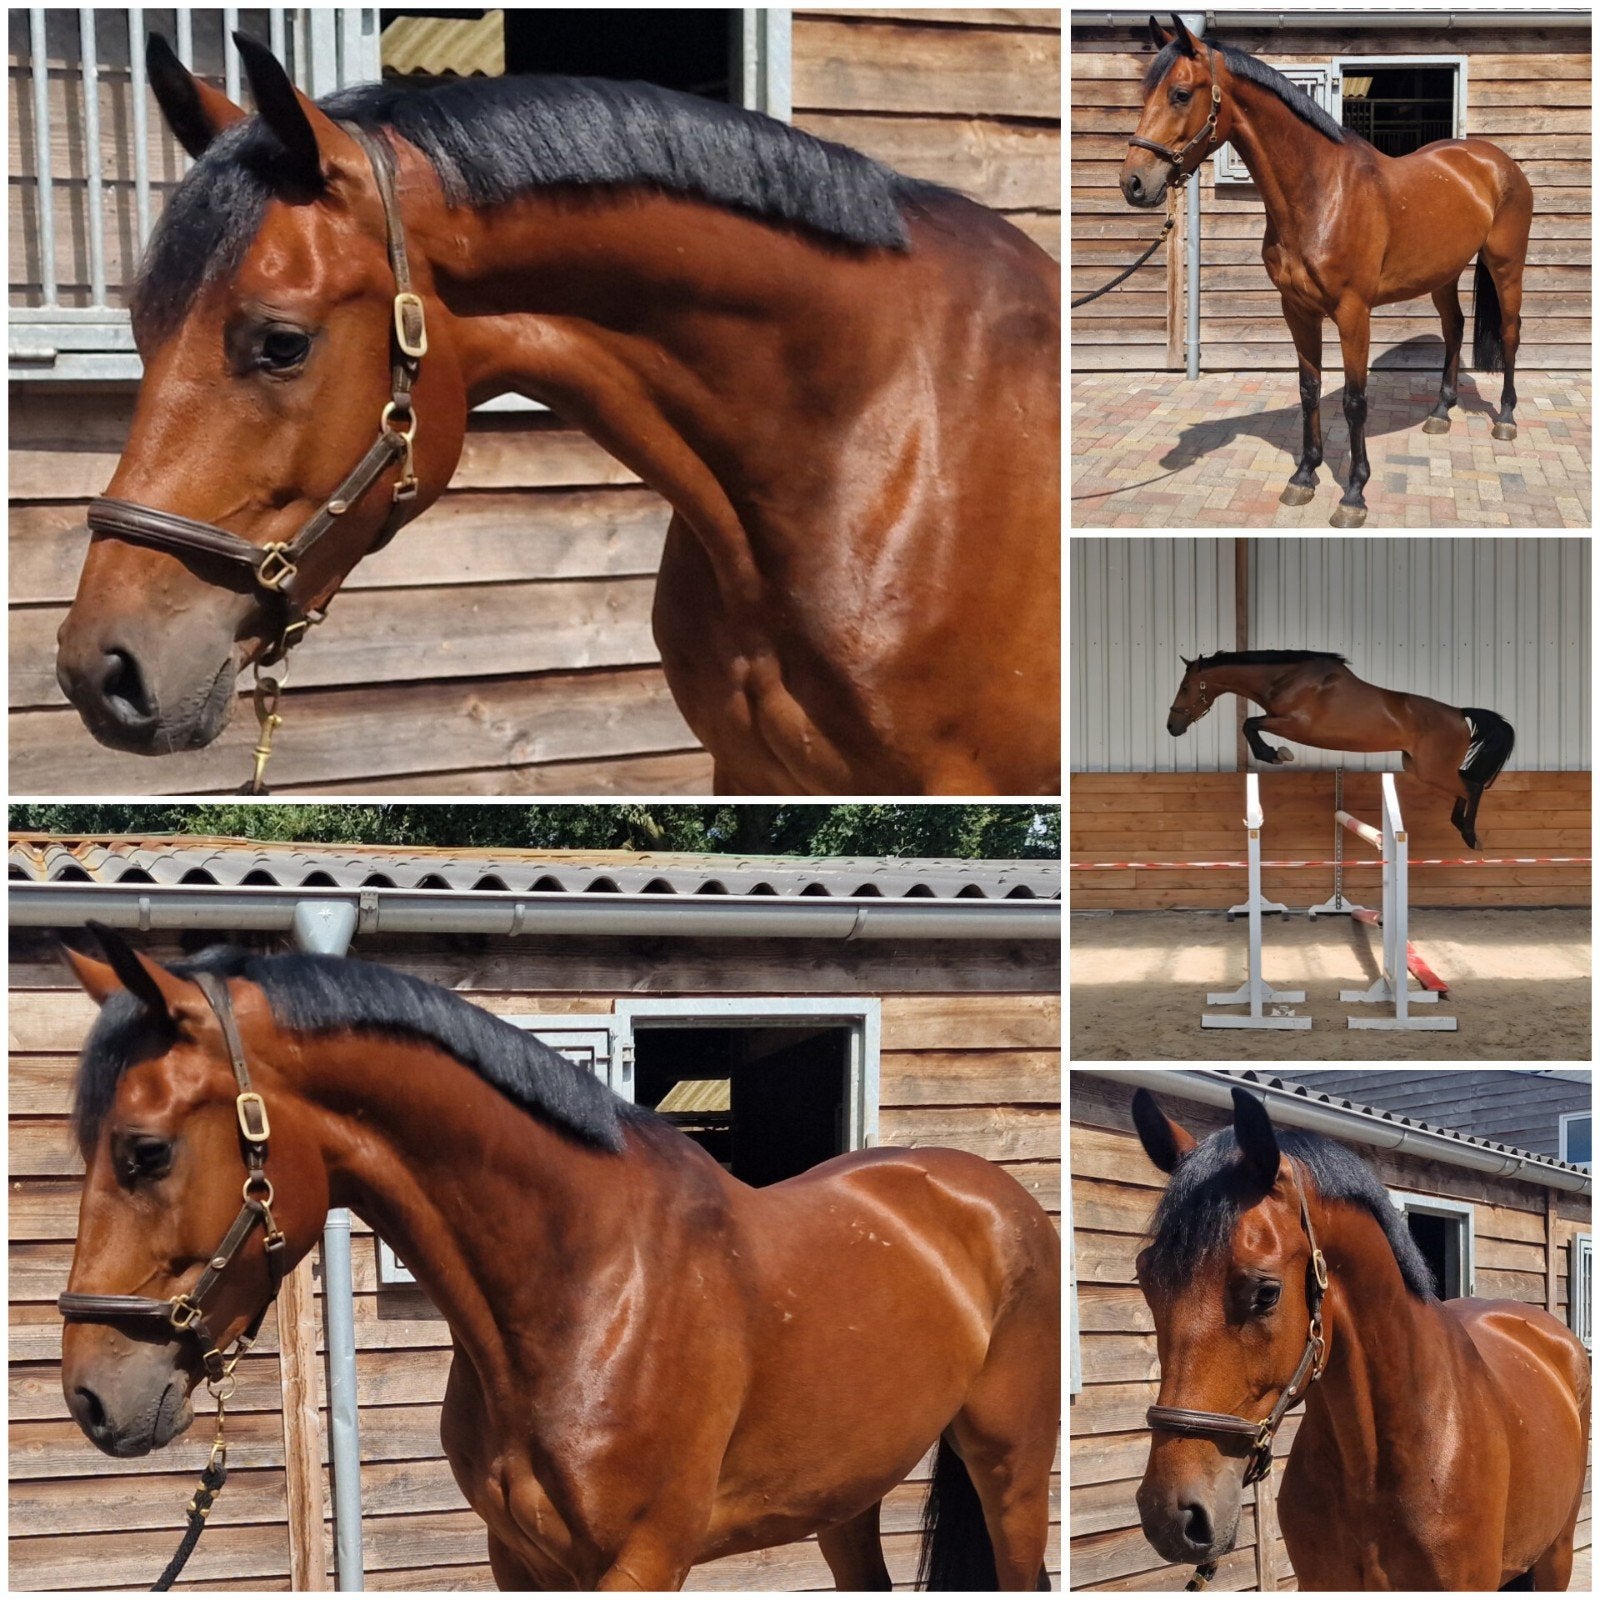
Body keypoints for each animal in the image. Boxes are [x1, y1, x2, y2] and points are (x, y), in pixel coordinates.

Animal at [56, 926, 1061, 1591]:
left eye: (146, 1152)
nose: (93, 1399)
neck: (587, 1291)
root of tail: (990, 1196)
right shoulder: (520, 1557)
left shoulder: (642, 1559)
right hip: (846, 1494)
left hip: (1009, 1469)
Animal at [1122, 15, 1533, 529]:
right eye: (1144, 92)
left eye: (1179, 94)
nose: (1134, 183)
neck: (1321, 195)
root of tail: (1495, 161)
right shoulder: (1297, 310)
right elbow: (1309, 388)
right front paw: (1304, 475)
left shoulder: (1353, 313)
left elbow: (1354, 401)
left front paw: (1354, 493)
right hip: (1443, 274)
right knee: (1454, 328)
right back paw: (1440, 412)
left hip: (1505, 265)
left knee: (1511, 333)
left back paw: (1506, 420)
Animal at [1167, 649, 1515, 849]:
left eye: (1185, 687)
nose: (1172, 727)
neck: (1286, 678)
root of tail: (1459, 713)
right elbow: (1250, 724)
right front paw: (1275, 754)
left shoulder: (1295, 725)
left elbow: (1249, 724)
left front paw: (1275, 754)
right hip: (1417, 766)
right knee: (1465, 786)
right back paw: (1460, 827)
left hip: (1432, 769)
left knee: (1471, 787)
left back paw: (1470, 836)